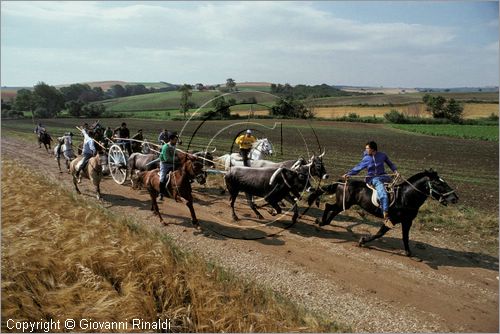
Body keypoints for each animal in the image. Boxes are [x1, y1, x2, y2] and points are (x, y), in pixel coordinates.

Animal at [310, 170, 458, 256]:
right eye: (439, 184)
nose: (455, 198)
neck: (405, 197)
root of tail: (341, 181)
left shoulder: (407, 221)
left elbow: (405, 237)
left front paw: (408, 252)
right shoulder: (391, 219)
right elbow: (380, 233)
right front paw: (363, 241)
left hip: (343, 204)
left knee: (332, 210)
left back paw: (322, 221)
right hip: (343, 203)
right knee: (329, 206)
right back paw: (321, 221)